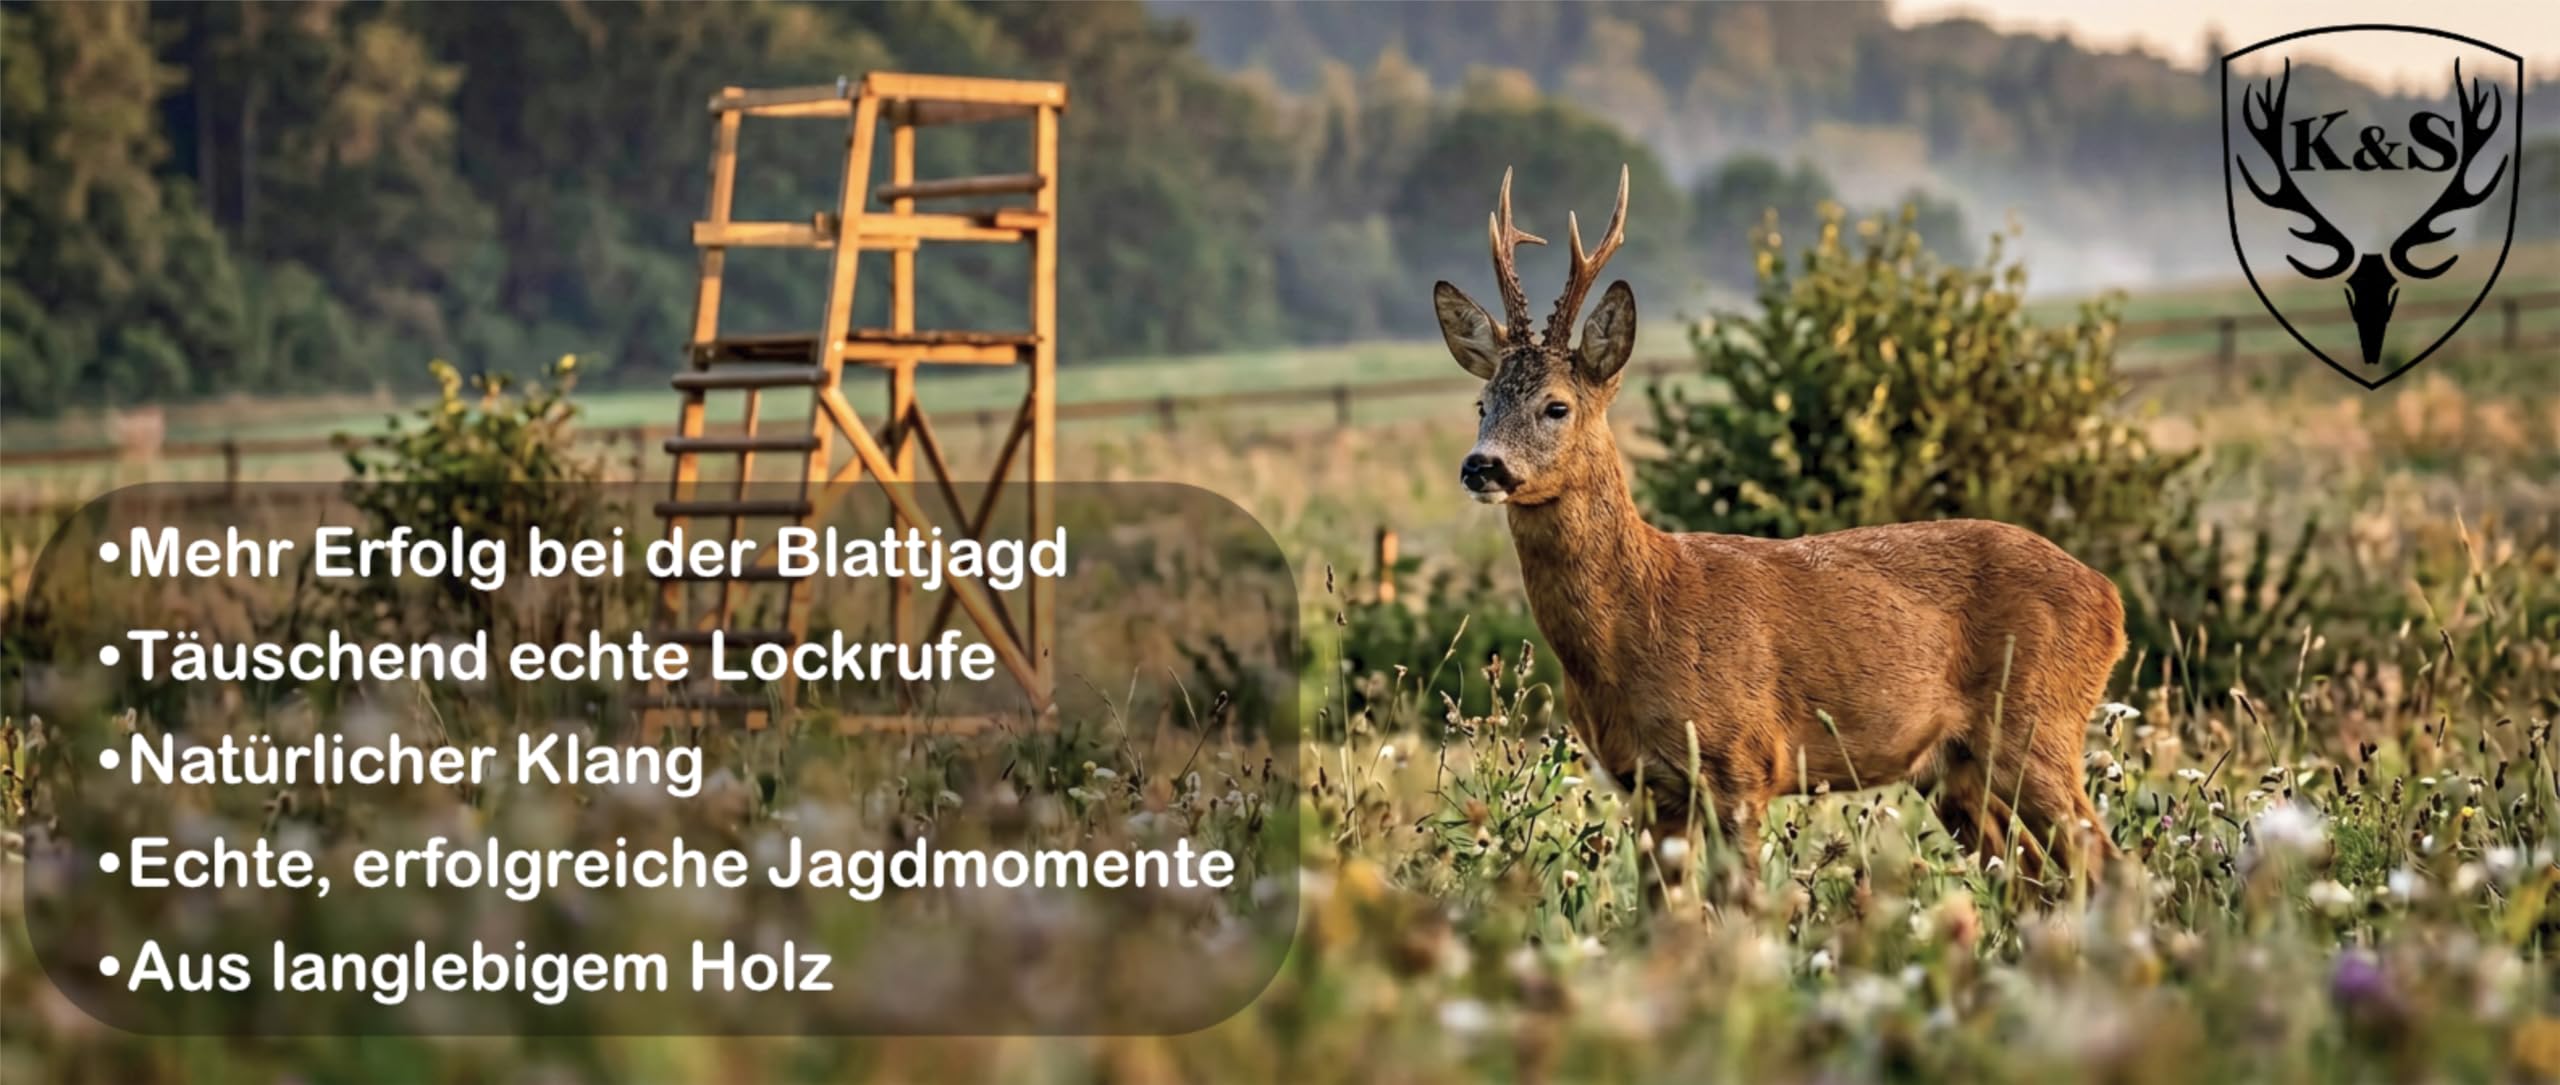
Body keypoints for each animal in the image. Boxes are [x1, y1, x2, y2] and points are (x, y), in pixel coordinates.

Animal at [1433, 167, 2126, 905]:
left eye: (1556, 405)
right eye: (1483, 403)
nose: (1482, 465)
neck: (1640, 621)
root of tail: (2111, 601)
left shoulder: (1742, 761)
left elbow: (1740, 905)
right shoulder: (1646, 785)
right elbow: (1659, 913)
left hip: (2038, 723)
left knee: (2105, 864)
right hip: (1953, 768)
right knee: (2028, 879)